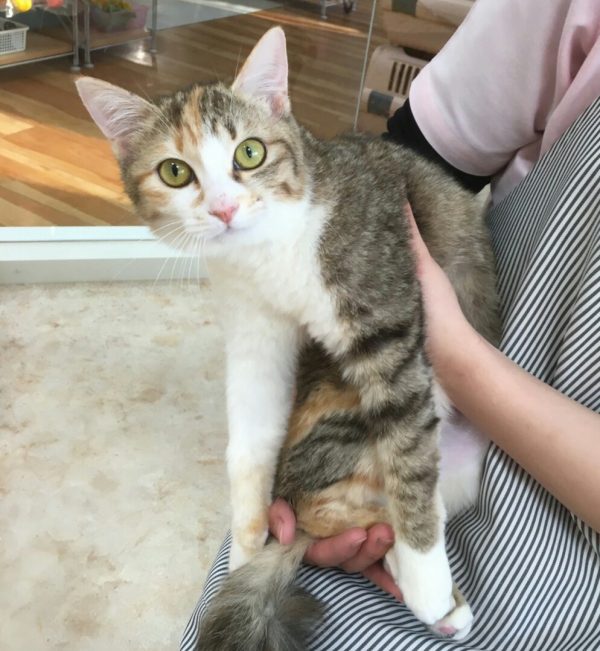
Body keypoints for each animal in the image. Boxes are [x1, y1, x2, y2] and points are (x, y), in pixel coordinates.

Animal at [76, 26, 500, 648]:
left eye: (249, 153)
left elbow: (406, 445)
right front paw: (246, 547)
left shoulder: (387, 318)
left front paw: (427, 575)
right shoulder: (255, 329)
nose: (224, 209)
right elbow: (249, 438)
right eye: (175, 172)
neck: (269, 256)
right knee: (317, 512)